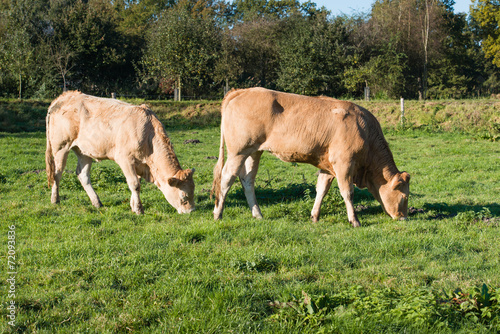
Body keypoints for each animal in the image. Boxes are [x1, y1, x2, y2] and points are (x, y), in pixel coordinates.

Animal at [46, 90, 195, 214]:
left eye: (193, 191)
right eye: (184, 196)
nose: (191, 211)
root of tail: (65, 96)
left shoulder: (139, 164)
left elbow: (136, 184)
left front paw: (133, 205)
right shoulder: (125, 160)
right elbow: (135, 184)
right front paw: (138, 209)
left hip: (84, 151)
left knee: (83, 175)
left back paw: (97, 202)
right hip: (60, 147)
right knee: (57, 174)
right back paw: (55, 199)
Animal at [211, 87, 410, 227]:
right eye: (404, 197)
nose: (404, 218)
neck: (365, 130)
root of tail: (242, 91)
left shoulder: (328, 166)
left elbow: (321, 190)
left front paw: (314, 216)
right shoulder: (344, 163)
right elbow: (347, 192)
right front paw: (354, 220)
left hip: (254, 151)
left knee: (248, 179)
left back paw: (258, 214)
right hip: (238, 151)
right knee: (227, 177)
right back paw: (218, 213)